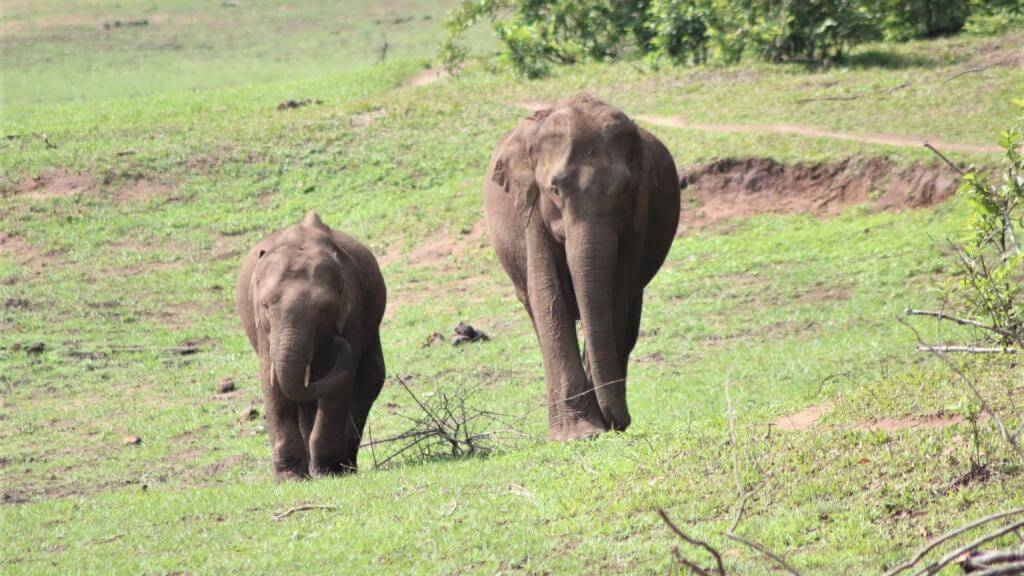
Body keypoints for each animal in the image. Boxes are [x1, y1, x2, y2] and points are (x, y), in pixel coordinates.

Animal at [235, 211, 387, 479]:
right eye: (265, 306)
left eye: (325, 309)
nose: (337, 340)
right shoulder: (264, 331)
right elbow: (272, 384)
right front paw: (290, 478)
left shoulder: (353, 313)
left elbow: (339, 386)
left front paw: (326, 471)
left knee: (369, 378)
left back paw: (343, 466)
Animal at [485, 94, 679, 438]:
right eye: (555, 189)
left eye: (625, 190)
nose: (620, 421)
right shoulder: (531, 211)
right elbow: (546, 292)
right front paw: (579, 435)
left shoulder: (639, 213)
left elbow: (617, 291)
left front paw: (597, 426)